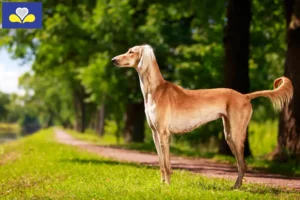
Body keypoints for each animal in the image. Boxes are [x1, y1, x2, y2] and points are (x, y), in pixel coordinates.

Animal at [111, 44, 292, 188]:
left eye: (131, 51)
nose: (113, 60)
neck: (155, 90)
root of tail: (244, 96)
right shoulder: (155, 133)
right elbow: (161, 163)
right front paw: (162, 184)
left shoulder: (164, 134)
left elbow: (168, 164)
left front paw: (168, 185)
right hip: (229, 133)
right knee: (241, 163)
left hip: (236, 133)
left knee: (243, 164)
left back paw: (237, 187)